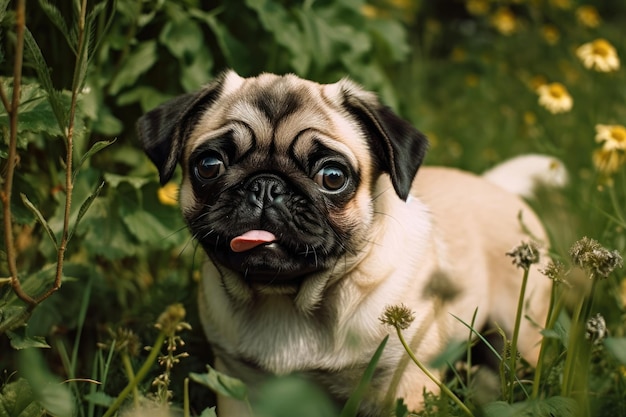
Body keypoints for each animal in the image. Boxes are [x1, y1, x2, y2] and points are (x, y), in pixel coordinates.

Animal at [135, 70, 552, 414]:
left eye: (332, 176)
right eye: (209, 166)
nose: (266, 185)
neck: (287, 300)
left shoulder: (403, 380)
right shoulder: (238, 385)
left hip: (523, 330)